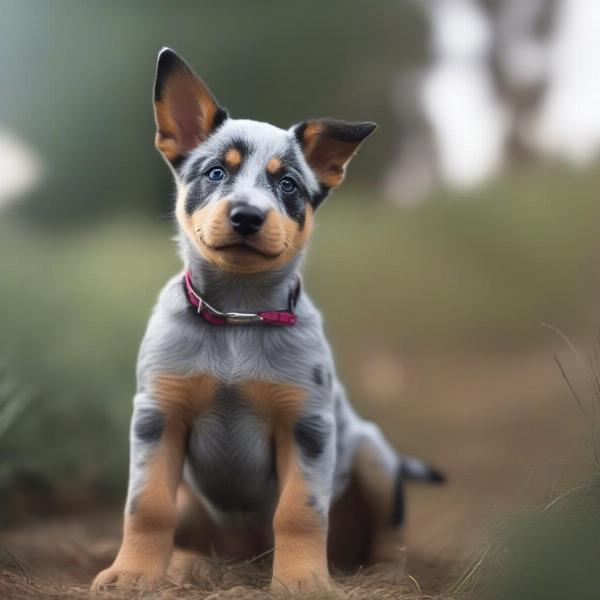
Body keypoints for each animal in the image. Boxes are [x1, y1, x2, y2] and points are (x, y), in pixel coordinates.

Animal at [92, 49, 440, 592]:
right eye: (216, 173)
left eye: (288, 184)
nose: (247, 216)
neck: (237, 316)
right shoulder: (157, 417)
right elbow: (145, 507)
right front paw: (131, 575)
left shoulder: (306, 426)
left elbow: (300, 512)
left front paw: (303, 582)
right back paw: (189, 564)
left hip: (373, 457)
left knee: (389, 534)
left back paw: (387, 576)